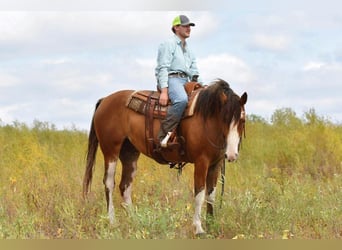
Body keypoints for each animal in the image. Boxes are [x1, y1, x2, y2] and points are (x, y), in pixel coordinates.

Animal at [83, 79, 248, 235]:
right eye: (224, 119)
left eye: (242, 120)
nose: (231, 154)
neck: (206, 118)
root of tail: (105, 100)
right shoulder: (201, 162)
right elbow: (200, 194)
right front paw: (199, 228)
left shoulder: (215, 164)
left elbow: (211, 195)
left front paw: (212, 225)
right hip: (111, 151)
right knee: (109, 183)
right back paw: (112, 221)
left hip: (130, 153)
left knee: (125, 185)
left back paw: (134, 219)